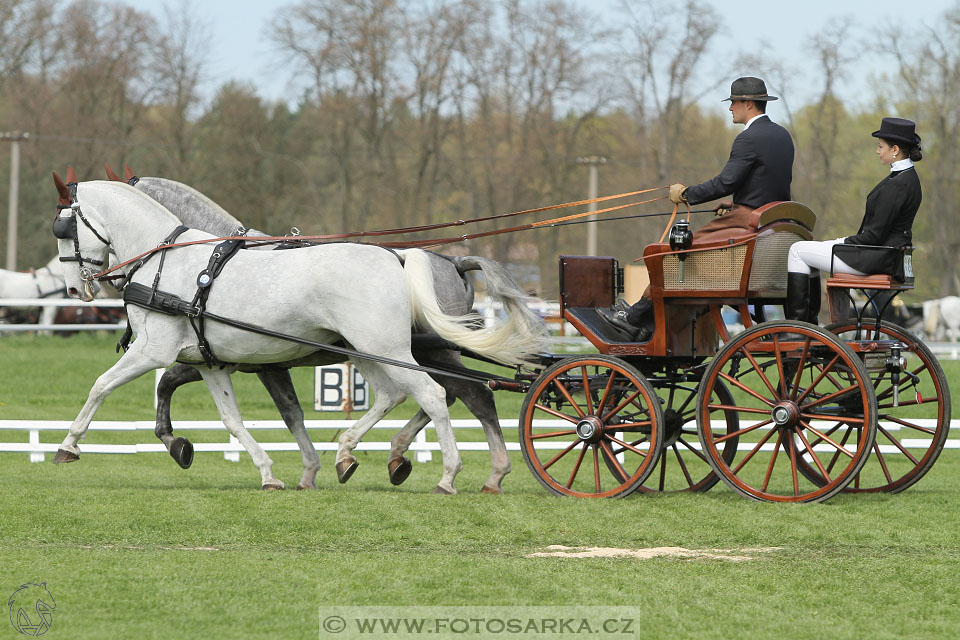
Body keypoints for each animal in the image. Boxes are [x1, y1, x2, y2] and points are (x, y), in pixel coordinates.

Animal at [50, 172, 548, 492]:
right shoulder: (213, 361)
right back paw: (359, 454)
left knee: (440, 395)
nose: (76, 288)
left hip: (392, 349)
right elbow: (242, 419)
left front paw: (69, 445)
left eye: (62, 227)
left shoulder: (155, 352)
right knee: (410, 394)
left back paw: (449, 473)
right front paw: (271, 472)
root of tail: (403, 257)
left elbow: (102, 386)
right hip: (375, 352)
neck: (169, 262)